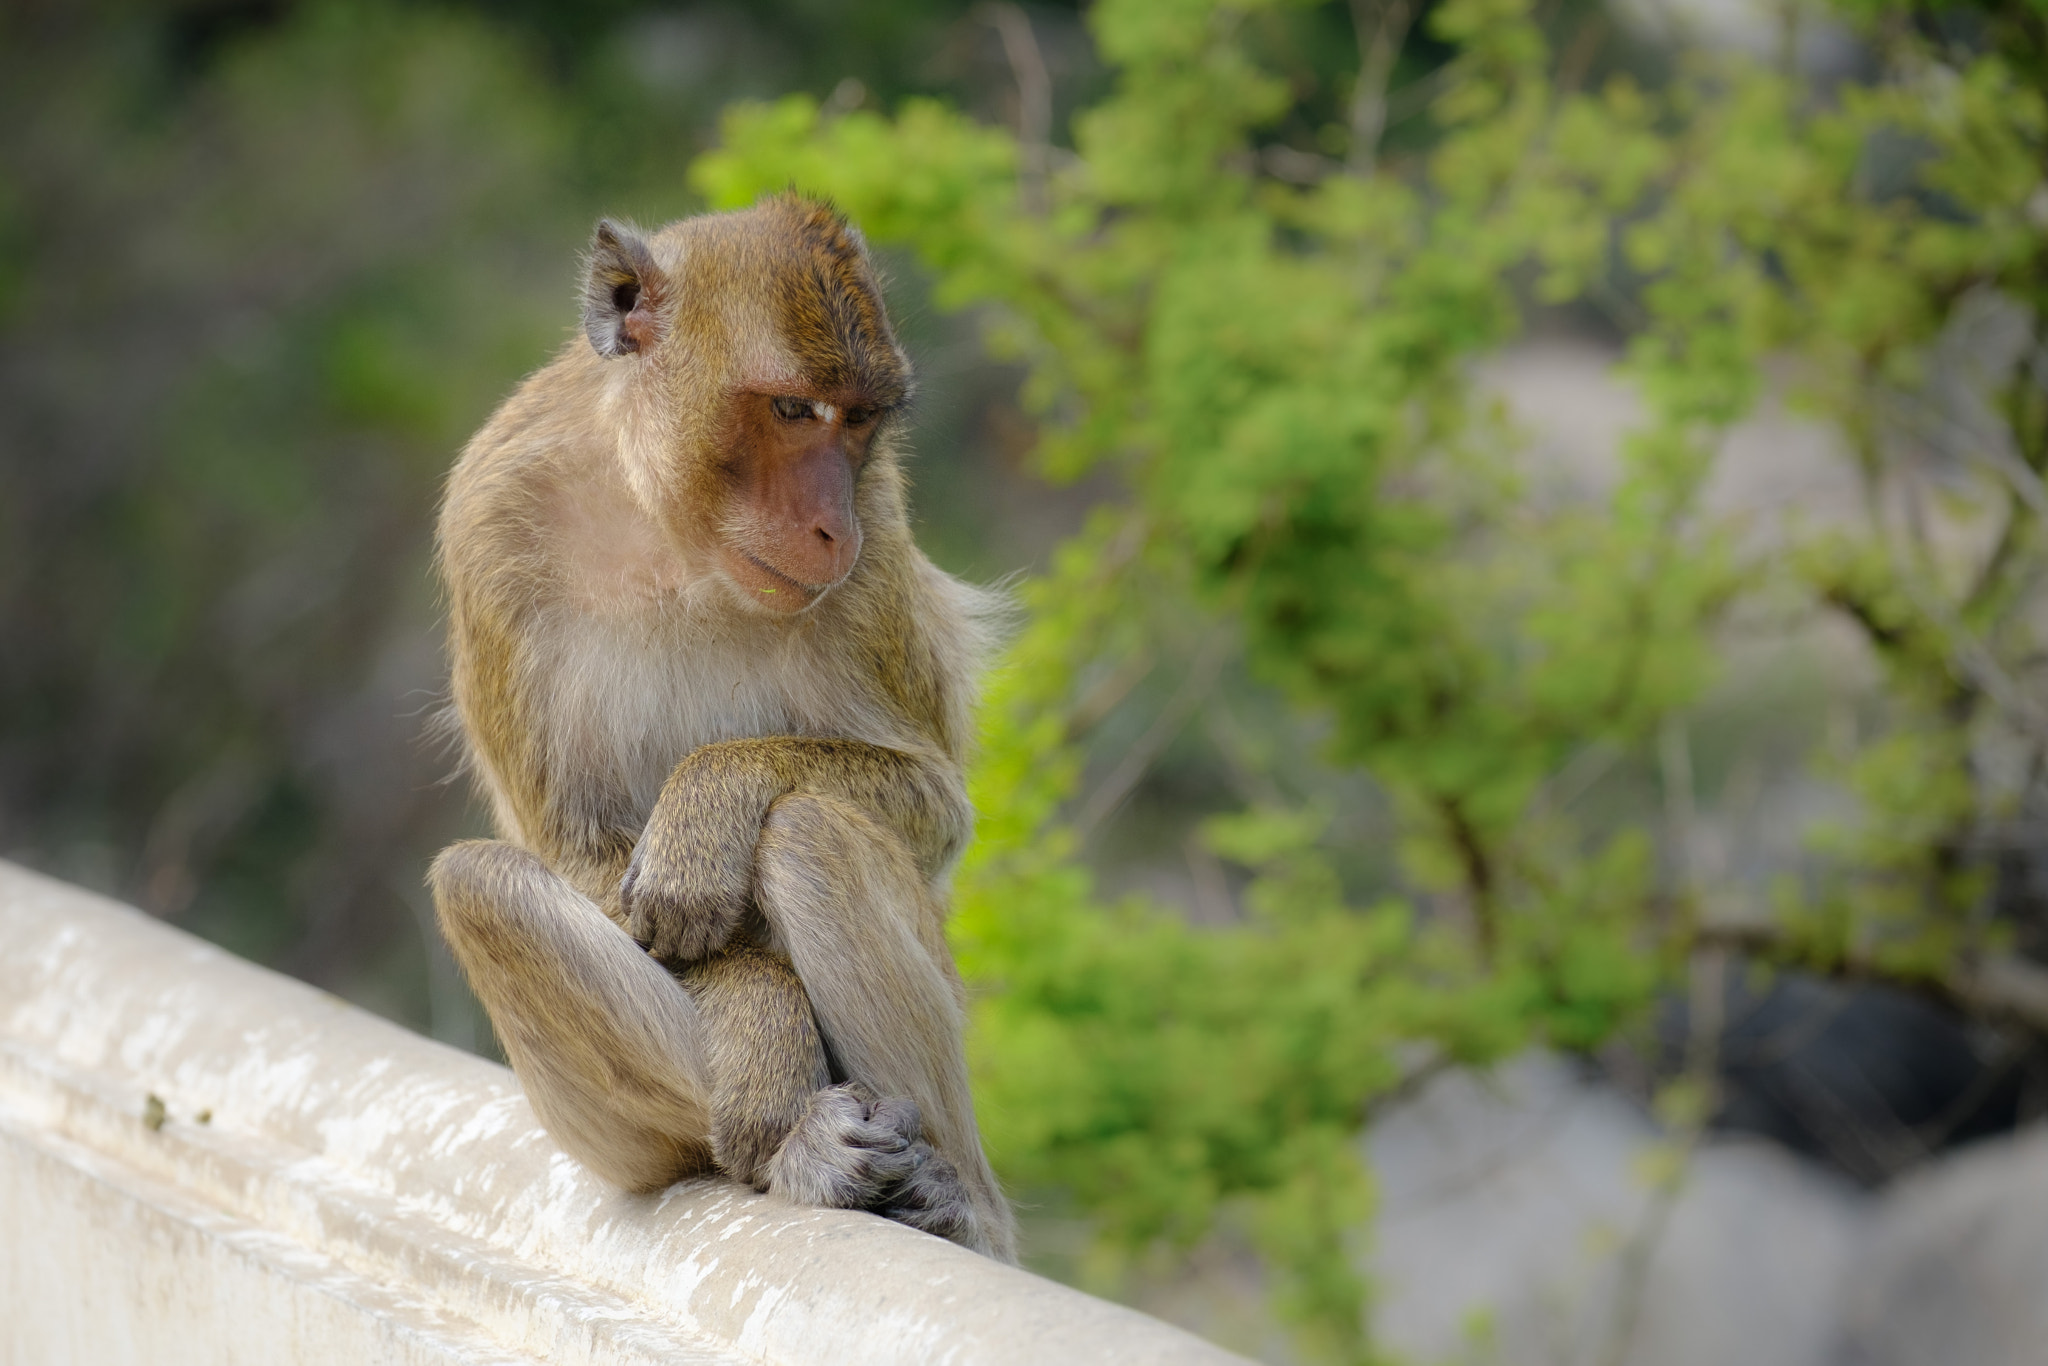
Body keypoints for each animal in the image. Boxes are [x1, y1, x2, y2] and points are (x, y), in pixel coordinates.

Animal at [423, 192, 1015, 1261]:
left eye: (859, 420)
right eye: (791, 410)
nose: (831, 527)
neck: (669, 535)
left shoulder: (874, 553)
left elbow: (935, 805)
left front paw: (712, 798)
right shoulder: (490, 524)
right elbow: (571, 848)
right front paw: (762, 1035)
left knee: (810, 830)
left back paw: (962, 1207)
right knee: (483, 884)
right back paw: (793, 1143)